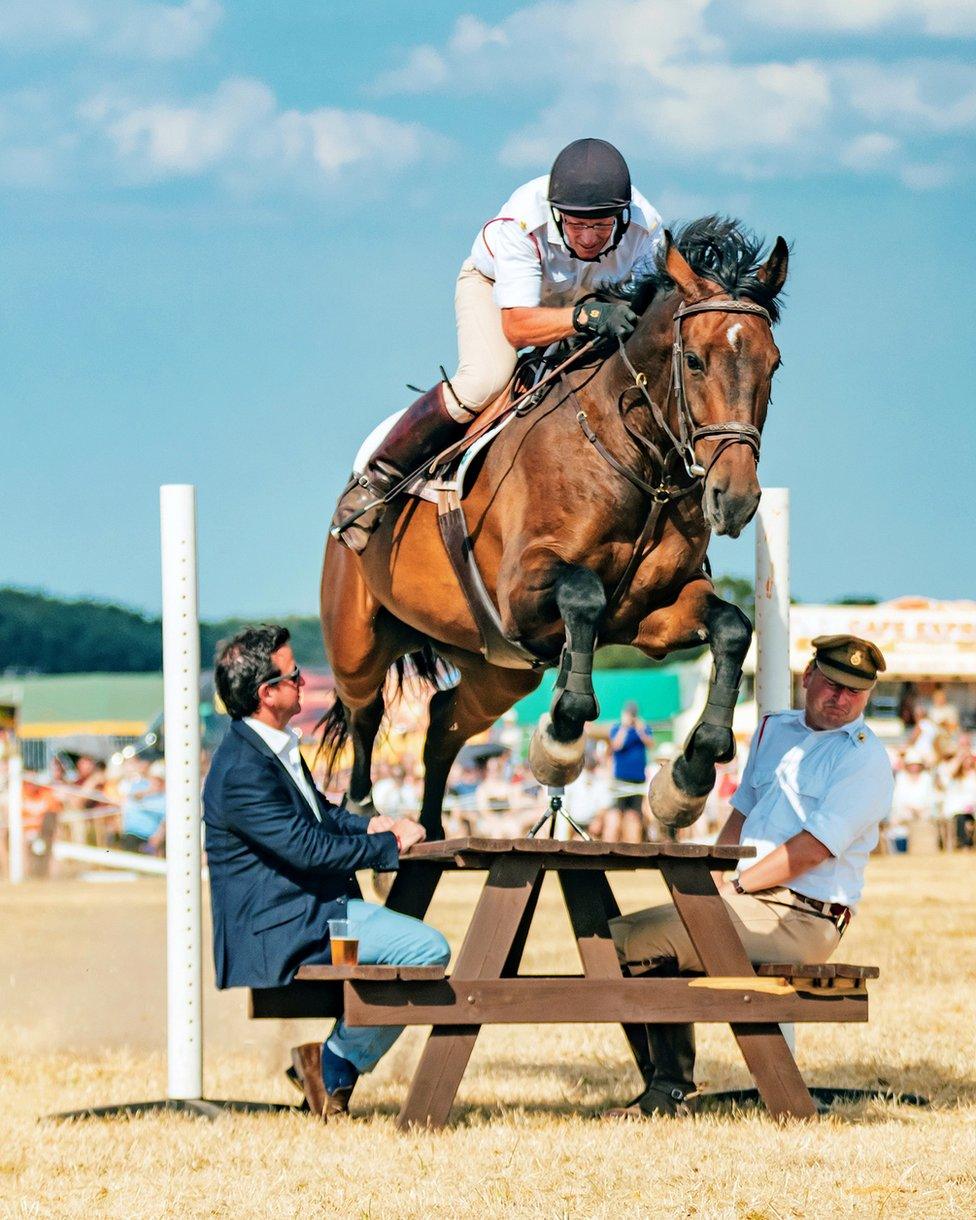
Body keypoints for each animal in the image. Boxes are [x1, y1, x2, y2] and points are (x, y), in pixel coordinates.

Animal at [317, 214, 790, 839]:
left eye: (773, 363)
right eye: (693, 361)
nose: (734, 499)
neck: (634, 457)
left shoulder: (654, 614)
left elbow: (733, 627)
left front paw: (689, 775)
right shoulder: (521, 592)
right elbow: (584, 595)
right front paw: (562, 739)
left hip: (498, 671)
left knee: (443, 722)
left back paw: (433, 830)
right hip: (357, 640)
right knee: (364, 713)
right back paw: (365, 813)